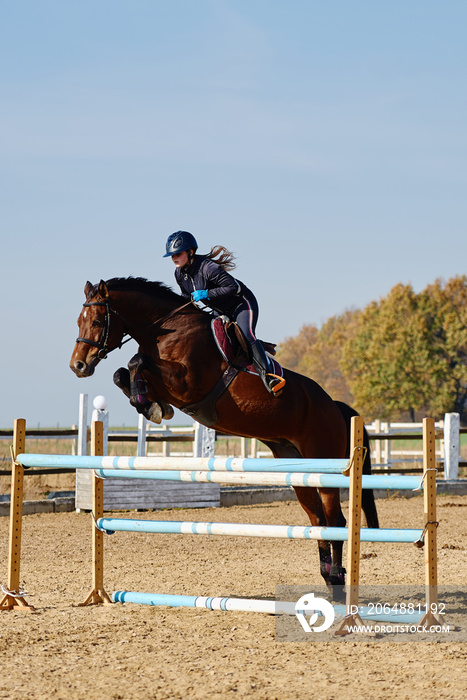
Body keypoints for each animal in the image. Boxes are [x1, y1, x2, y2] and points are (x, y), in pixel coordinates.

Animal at [70, 276, 380, 600]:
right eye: (79, 320)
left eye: (96, 321)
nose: (78, 366)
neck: (166, 330)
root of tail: (335, 407)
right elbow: (123, 373)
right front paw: (150, 405)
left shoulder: (186, 383)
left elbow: (136, 361)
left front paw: (151, 405)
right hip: (297, 467)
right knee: (318, 521)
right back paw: (330, 580)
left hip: (324, 462)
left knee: (335, 521)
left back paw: (338, 583)